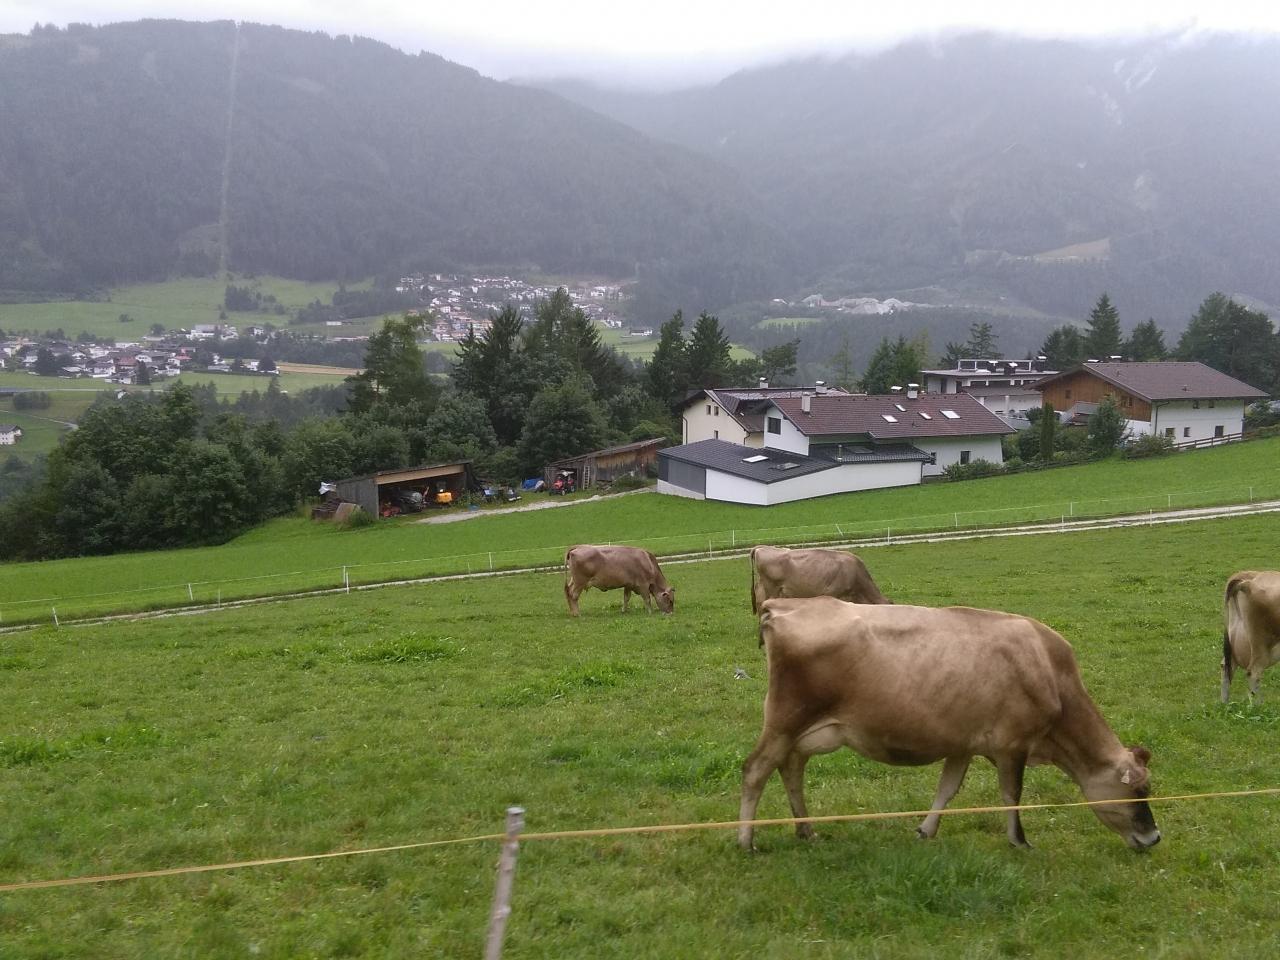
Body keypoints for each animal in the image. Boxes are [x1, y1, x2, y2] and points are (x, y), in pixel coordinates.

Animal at [738, 597, 1159, 851]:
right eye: (1138, 791)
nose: (1154, 837)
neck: (1050, 672)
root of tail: (782, 604)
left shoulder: (963, 743)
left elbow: (948, 789)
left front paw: (926, 830)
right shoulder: (1013, 744)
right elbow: (1012, 793)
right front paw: (1019, 841)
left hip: (806, 732)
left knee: (791, 769)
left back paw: (806, 829)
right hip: (784, 721)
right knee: (755, 770)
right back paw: (746, 840)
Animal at [1222, 571, 1280, 703]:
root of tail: (1247, 582)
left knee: (1227, 666)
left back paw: (1225, 703)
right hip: (1262, 644)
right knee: (1253, 673)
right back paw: (1261, 705)